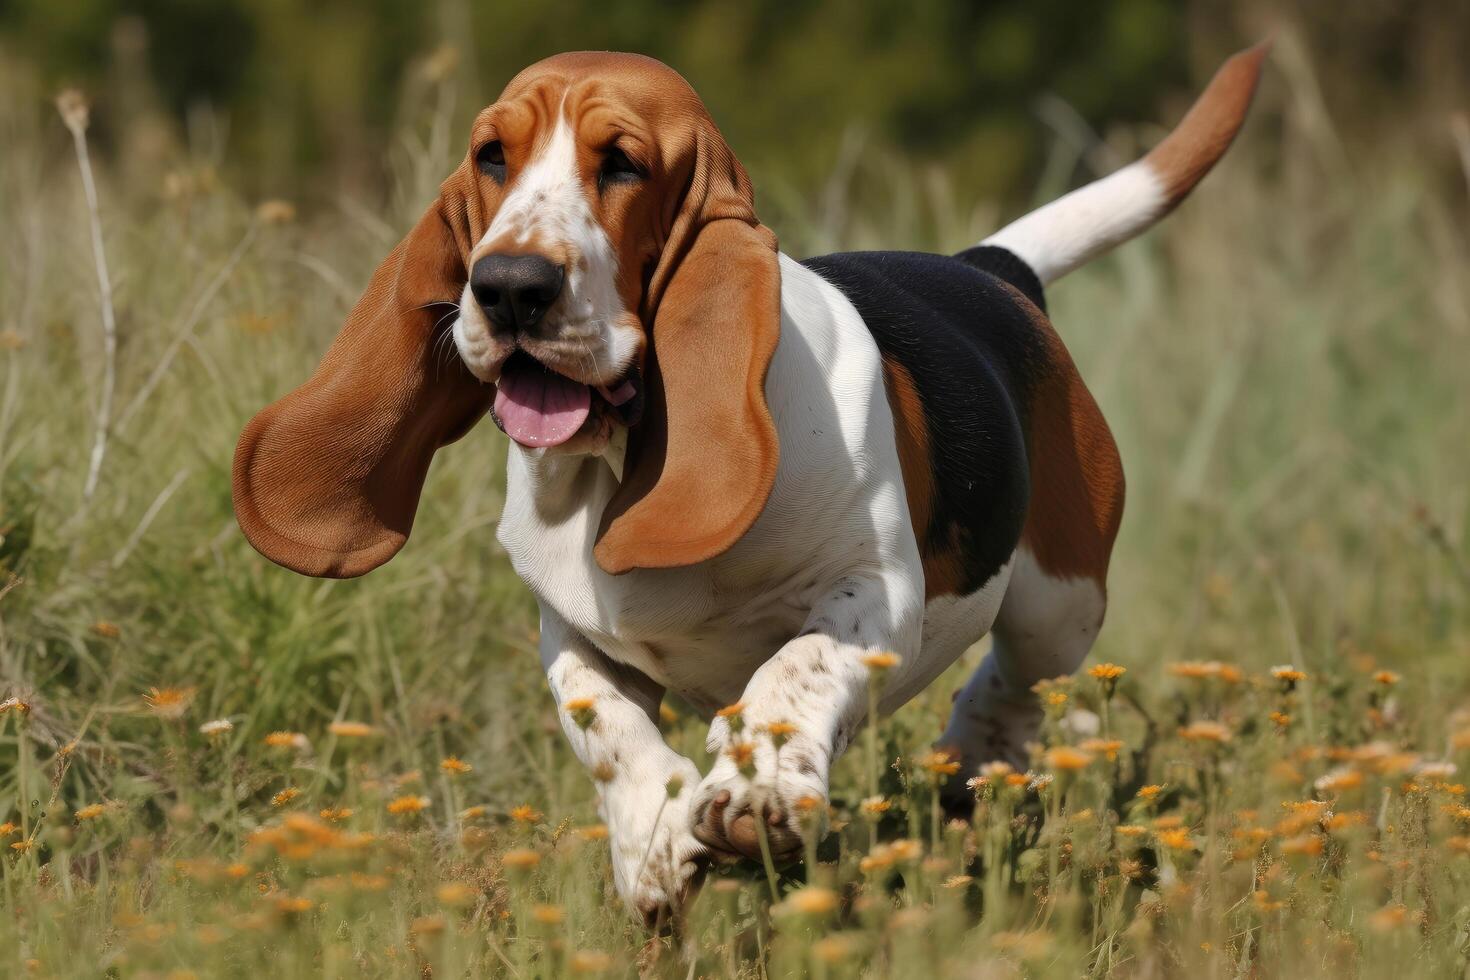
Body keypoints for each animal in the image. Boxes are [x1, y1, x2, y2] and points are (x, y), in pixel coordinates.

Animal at [229, 44, 1264, 922]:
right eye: (492, 156)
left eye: (624, 165)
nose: (510, 286)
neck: (618, 459)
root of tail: (990, 269)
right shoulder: (571, 634)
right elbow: (606, 727)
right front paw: (652, 839)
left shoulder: (873, 594)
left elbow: (791, 670)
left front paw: (754, 794)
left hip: (1061, 599)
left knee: (1011, 680)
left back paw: (971, 762)